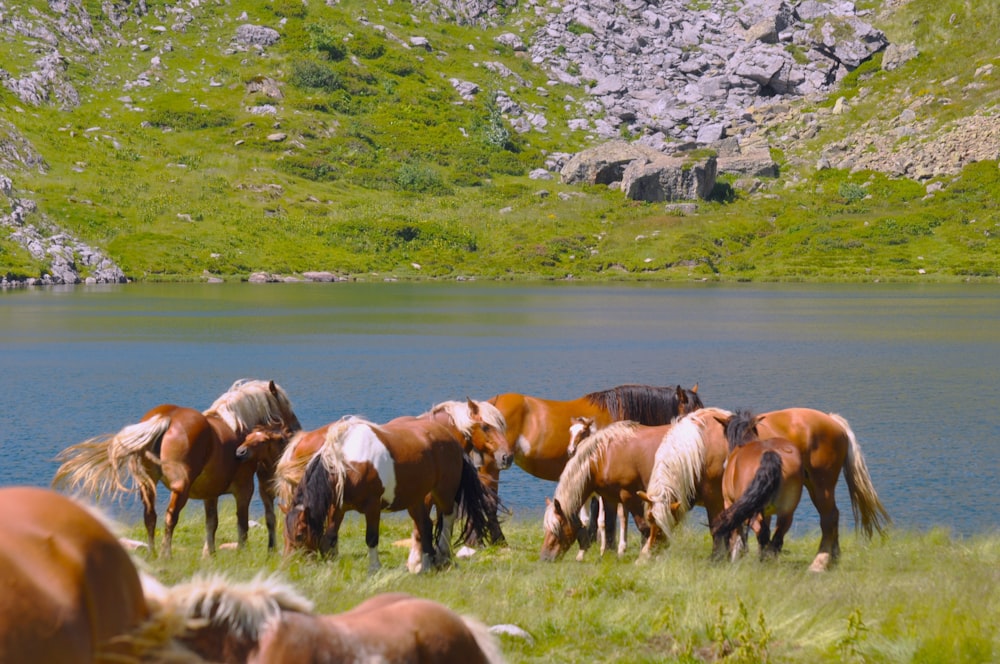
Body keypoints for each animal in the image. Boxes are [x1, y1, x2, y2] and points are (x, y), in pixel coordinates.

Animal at [53, 376, 300, 556]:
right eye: (286, 404)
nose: (296, 429)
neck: (236, 427)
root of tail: (167, 417)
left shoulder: (211, 493)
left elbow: (212, 523)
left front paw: (209, 555)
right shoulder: (244, 488)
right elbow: (241, 523)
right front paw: (241, 552)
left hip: (148, 484)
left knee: (150, 516)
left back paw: (153, 553)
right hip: (181, 488)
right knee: (170, 517)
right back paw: (166, 555)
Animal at [286, 412, 496, 572]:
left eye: (300, 534)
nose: (292, 564)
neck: (349, 462)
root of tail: (453, 442)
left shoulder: (372, 507)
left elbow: (371, 538)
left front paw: (374, 569)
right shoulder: (339, 506)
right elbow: (329, 538)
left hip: (443, 492)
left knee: (447, 517)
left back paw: (442, 556)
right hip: (416, 499)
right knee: (425, 526)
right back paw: (425, 567)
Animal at [540, 420, 672, 560]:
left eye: (558, 527)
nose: (544, 557)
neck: (604, 457)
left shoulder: (631, 496)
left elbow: (643, 526)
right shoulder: (609, 497)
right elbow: (608, 524)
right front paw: (608, 554)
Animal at [640, 404, 892, 572]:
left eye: (662, 526)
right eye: (649, 522)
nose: (647, 557)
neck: (699, 446)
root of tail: (833, 421)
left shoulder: (718, 499)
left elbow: (720, 528)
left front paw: (720, 559)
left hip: (822, 486)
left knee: (828, 518)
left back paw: (820, 562)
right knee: (831, 517)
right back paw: (833, 558)